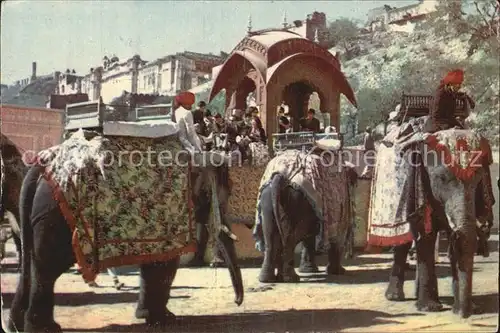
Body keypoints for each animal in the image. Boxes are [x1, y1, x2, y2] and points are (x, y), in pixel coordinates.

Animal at [6, 128, 244, 330]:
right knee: (48, 268)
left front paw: (151, 317)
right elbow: (166, 263)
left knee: (32, 262)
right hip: (57, 216)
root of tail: (43, 161)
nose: (237, 301)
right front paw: (166, 319)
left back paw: (14, 326)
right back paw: (44, 328)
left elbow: (155, 261)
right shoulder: (172, 210)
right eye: (226, 191)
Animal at [254, 147, 356, 282]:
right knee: (291, 238)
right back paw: (290, 278)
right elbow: (337, 236)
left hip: (268, 199)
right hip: (298, 200)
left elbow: (309, 237)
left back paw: (267, 279)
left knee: (270, 235)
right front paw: (338, 272)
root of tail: (281, 175)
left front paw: (308, 271)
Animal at [370, 121, 494, 316]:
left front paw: (467, 308)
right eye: (441, 179)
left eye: (478, 182)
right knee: (402, 240)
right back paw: (395, 297)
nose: (463, 314)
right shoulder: (420, 185)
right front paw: (430, 308)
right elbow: (425, 235)